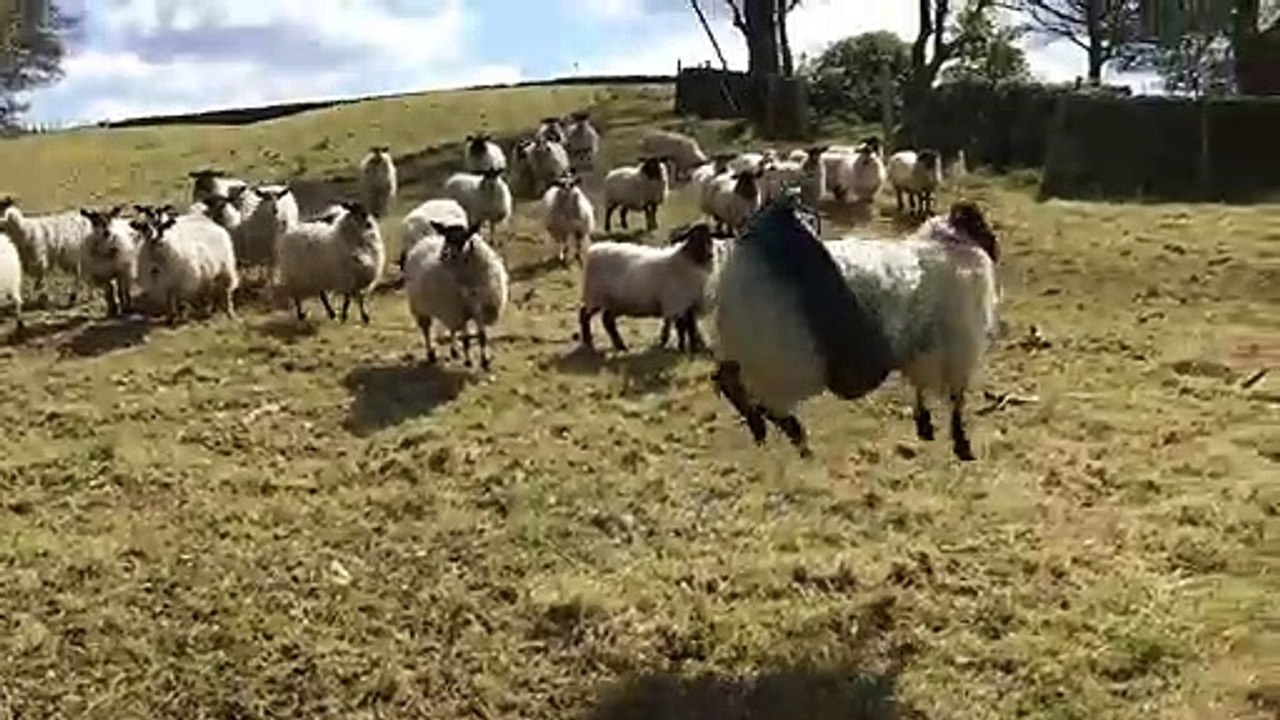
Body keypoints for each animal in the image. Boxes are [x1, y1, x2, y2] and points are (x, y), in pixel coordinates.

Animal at [402, 219, 509, 370]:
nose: (445, 254)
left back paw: (454, 352)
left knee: (452, 329)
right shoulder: (460, 309)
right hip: (420, 306)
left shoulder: (478, 308)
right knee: (426, 330)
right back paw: (431, 354)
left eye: (464, 237)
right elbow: (466, 339)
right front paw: (469, 361)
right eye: (446, 237)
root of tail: (424, 240)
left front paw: (484, 361)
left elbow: (482, 336)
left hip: (450, 308)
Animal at [577, 221, 716, 354]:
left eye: (709, 238)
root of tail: (593, 250)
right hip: (595, 295)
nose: (710, 255)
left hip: (613, 301)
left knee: (607, 320)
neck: (687, 261)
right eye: (694, 237)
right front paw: (682, 348)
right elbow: (682, 327)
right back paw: (588, 340)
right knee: (585, 314)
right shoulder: (676, 303)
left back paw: (620, 346)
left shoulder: (687, 303)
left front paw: (691, 347)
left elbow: (690, 327)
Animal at [712, 192, 1001, 460]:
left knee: (730, 379)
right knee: (760, 398)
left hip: (759, 353)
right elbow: (955, 399)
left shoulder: (924, 350)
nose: (995, 248)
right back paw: (796, 439)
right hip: (786, 360)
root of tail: (734, 273)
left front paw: (926, 425)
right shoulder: (958, 349)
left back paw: (769, 432)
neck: (951, 244)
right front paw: (960, 442)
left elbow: (922, 387)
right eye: (981, 224)